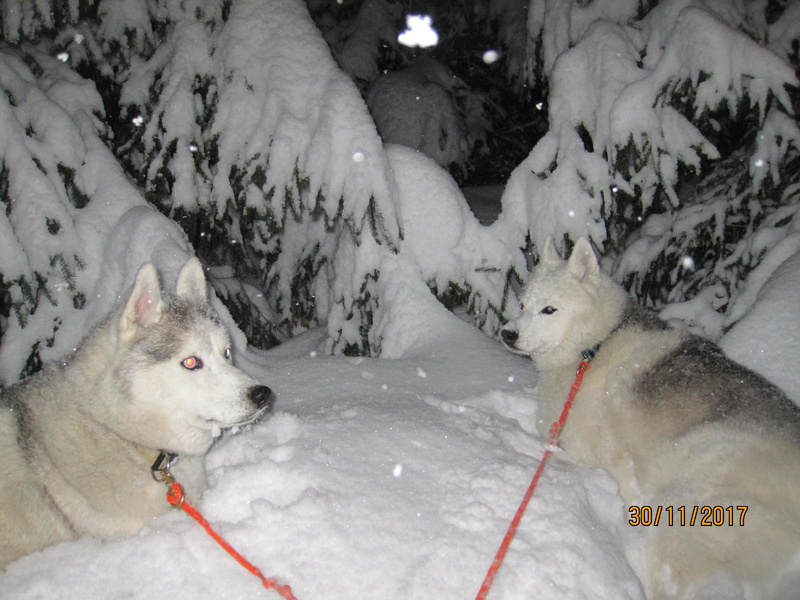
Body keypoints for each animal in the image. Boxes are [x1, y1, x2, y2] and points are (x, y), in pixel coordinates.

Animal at [500, 239, 800, 600]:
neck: (595, 346)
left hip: (684, 511)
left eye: (549, 310)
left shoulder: (605, 457)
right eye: (522, 303)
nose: (507, 333)